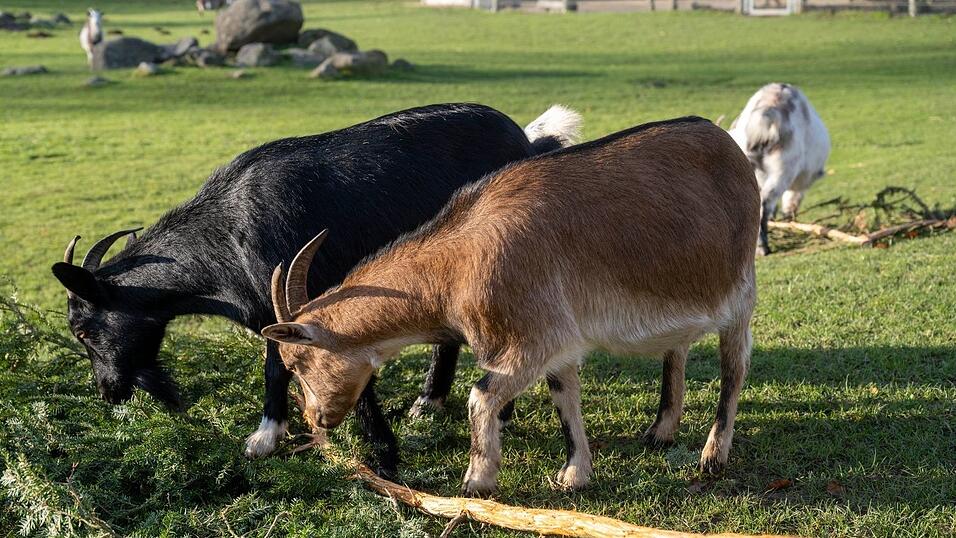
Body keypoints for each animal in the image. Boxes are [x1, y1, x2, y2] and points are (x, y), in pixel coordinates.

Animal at [51, 103, 582, 477]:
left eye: (84, 331)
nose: (108, 392)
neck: (227, 234)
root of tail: (527, 141)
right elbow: (278, 368)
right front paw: (270, 436)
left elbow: (307, 369)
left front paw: (380, 455)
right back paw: (429, 403)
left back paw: (496, 410)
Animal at [262, 117, 760, 496]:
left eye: (299, 360)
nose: (317, 418)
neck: (456, 264)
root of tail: (728, 145)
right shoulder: (557, 339)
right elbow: (564, 397)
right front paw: (575, 475)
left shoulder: (530, 338)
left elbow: (480, 396)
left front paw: (477, 482)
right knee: (677, 351)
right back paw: (661, 431)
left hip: (740, 293)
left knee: (734, 369)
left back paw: (713, 457)